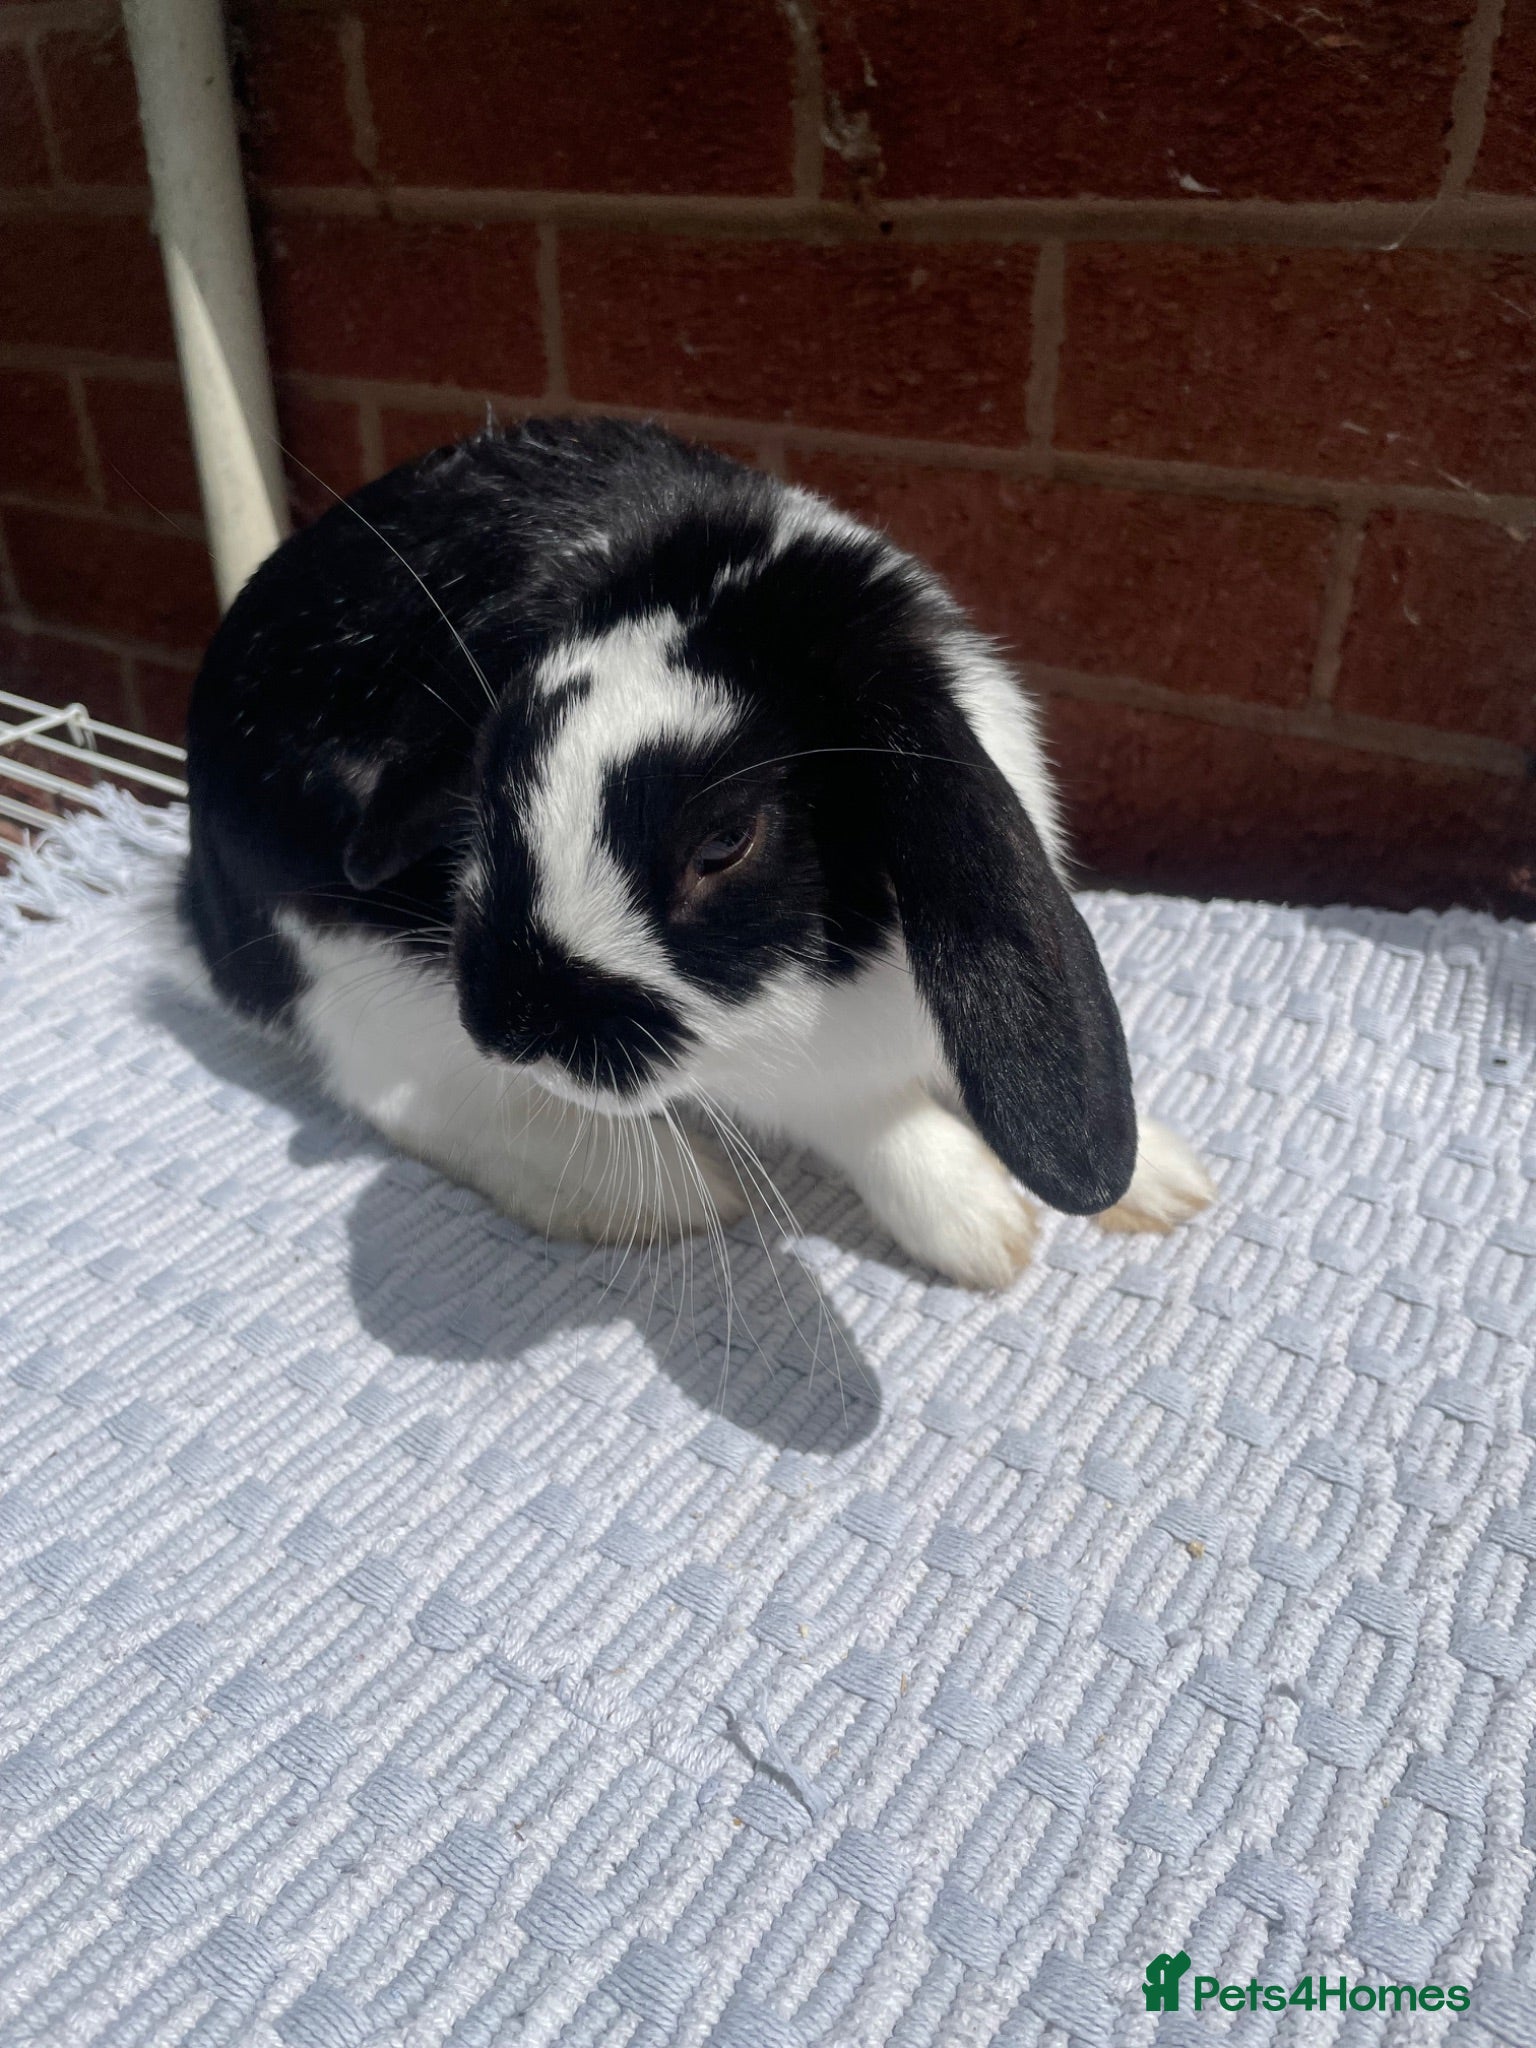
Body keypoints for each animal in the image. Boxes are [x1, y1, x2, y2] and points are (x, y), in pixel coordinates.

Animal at [181, 416, 1212, 1291]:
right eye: (490, 771)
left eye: (724, 843)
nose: (509, 1026)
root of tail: (203, 906)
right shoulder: (793, 1080)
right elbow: (874, 1122)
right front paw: (985, 1233)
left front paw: (1162, 1187)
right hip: (363, 977)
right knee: (396, 1092)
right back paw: (656, 1198)